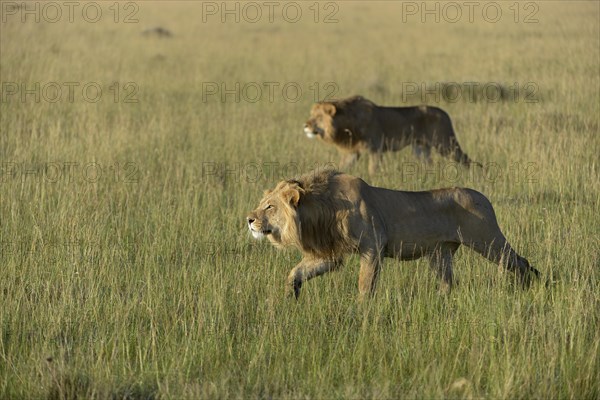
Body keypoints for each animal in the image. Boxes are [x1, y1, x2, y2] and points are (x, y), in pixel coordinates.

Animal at [247, 170, 540, 298]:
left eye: (269, 206)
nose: (249, 220)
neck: (322, 209)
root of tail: (484, 197)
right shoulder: (331, 253)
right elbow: (296, 272)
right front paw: (291, 296)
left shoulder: (372, 247)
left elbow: (365, 284)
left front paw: (362, 311)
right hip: (440, 253)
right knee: (448, 282)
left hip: (487, 240)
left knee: (519, 261)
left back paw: (529, 286)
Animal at [302, 95, 480, 175]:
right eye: (311, 115)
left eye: (317, 117)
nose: (305, 125)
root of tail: (445, 113)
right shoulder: (352, 152)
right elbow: (342, 167)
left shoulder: (375, 148)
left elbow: (372, 169)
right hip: (421, 148)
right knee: (429, 164)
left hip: (445, 144)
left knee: (465, 159)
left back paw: (472, 174)